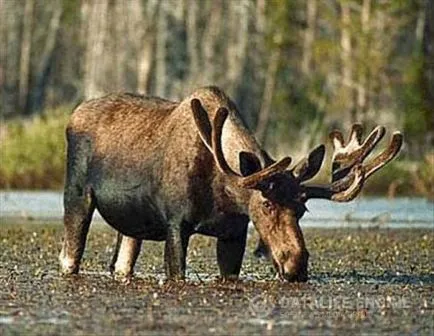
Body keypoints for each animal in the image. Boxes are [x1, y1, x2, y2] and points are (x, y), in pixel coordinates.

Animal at [59, 86, 402, 280]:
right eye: (266, 204)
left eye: (303, 210)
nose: (296, 266)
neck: (223, 193)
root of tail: (73, 114)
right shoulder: (176, 224)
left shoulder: (234, 232)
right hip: (77, 196)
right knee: (68, 257)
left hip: (133, 225)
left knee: (121, 263)